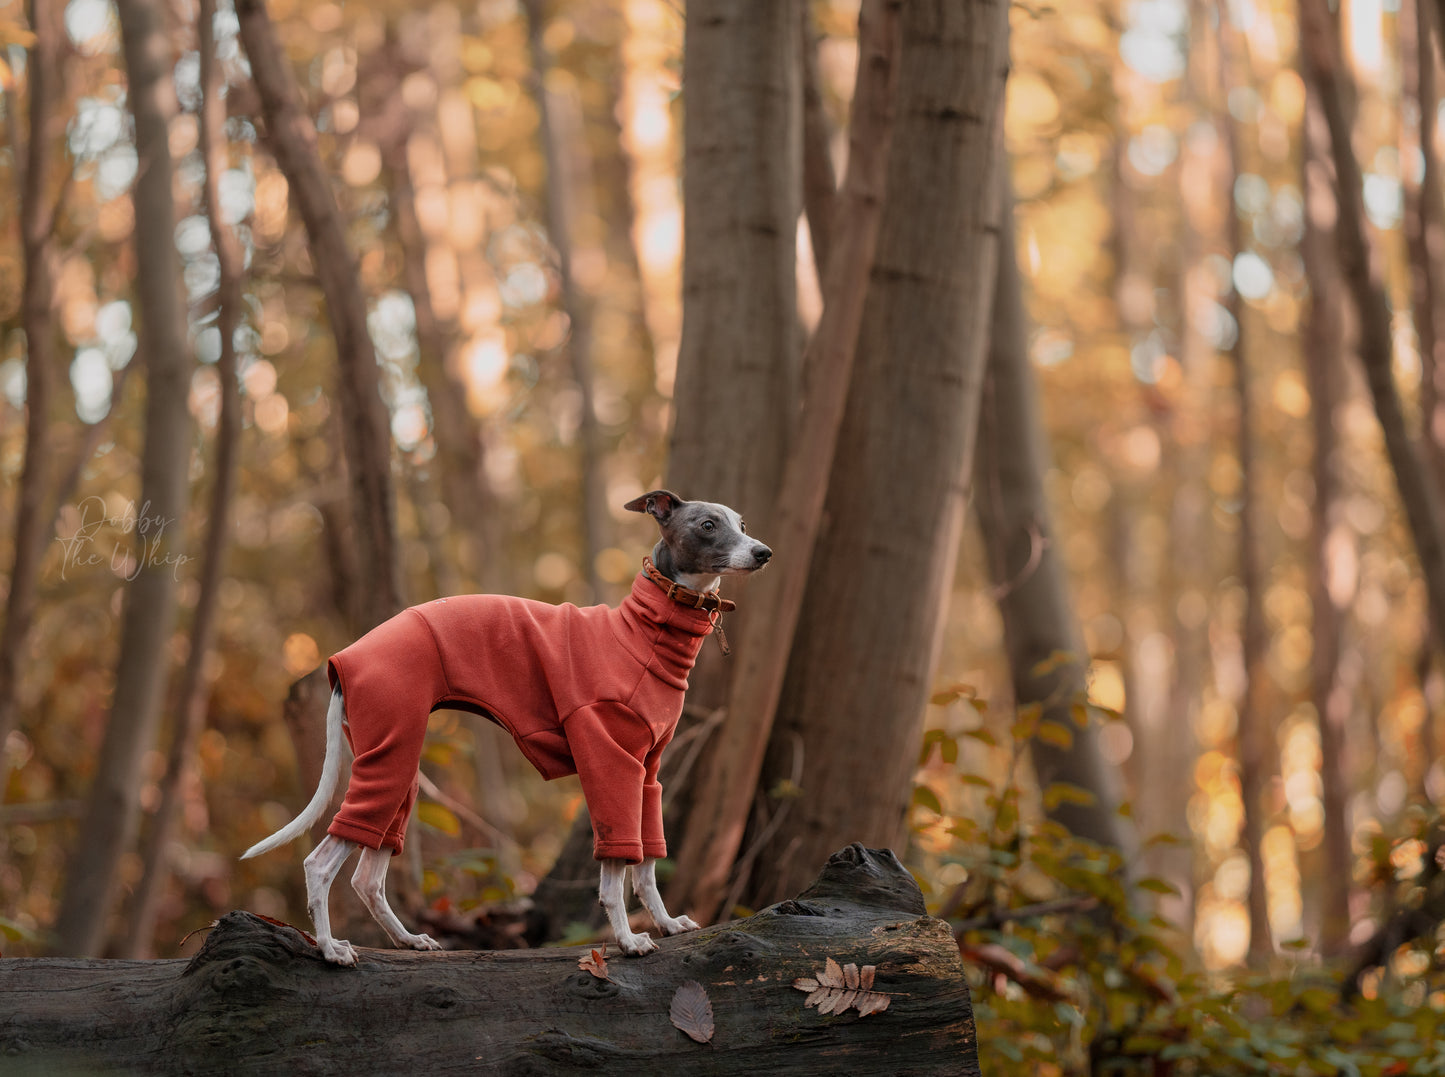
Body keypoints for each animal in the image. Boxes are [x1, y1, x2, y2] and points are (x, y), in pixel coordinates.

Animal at [242, 491, 774, 959]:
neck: (643, 632)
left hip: (398, 763)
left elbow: (646, 865)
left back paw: (409, 941)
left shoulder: (648, 773)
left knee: (367, 876)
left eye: (742, 523)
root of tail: (342, 660)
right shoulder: (611, 762)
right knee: (319, 864)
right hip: (388, 756)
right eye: (708, 524)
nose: (764, 552)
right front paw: (626, 940)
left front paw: (664, 923)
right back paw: (330, 949)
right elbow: (615, 871)